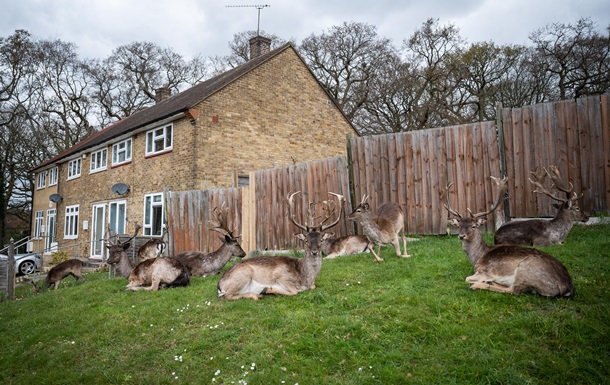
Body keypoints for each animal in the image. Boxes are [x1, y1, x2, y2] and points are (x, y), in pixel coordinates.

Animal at [444, 174, 572, 296]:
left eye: (474, 226)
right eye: (459, 226)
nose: (461, 236)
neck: (477, 257)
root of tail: (567, 287)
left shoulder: (486, 271)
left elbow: (467, 278)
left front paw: (480, 281)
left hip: (525, 269)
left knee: (514, 290)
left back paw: (478, 285)